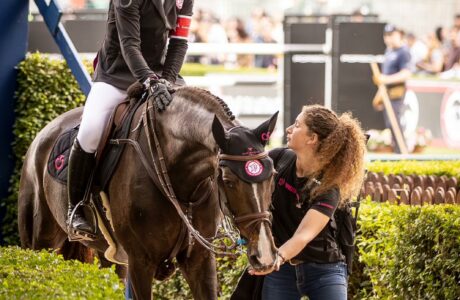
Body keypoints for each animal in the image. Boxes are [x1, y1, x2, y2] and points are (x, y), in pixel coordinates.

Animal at [17, 85, 276, 298]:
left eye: (272, 176)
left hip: (109, 256)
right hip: (41, 243)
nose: (264, 255)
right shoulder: (140, 261)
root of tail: (44, 132)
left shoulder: (200, 259)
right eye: (229, 181)